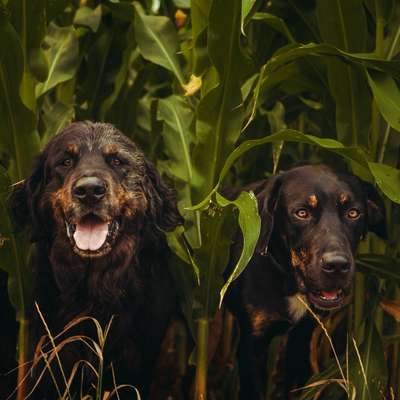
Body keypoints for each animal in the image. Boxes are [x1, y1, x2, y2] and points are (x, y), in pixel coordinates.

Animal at [223, 165, 386, 400]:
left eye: (353, 213)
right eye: (301, 213)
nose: (337, 265)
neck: (289, 282)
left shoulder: (303, 337)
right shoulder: (252, 346)